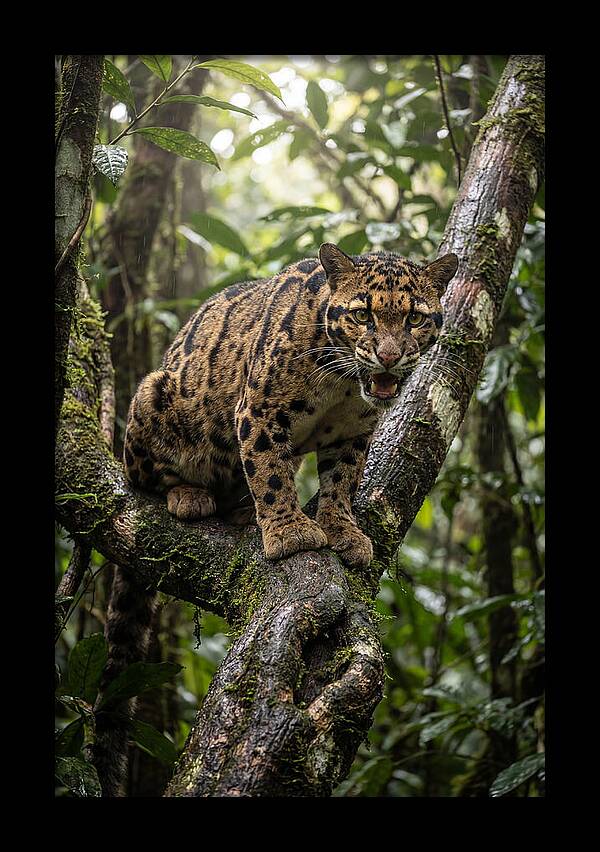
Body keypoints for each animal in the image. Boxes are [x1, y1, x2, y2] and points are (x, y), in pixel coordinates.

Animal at [123, 243, 458, 568]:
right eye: (362, 316)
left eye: (414, 318)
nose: (389, 357)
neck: (342, 383)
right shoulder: (260, 411)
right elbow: (270, 472)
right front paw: (290, 531)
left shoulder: (353, 432)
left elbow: (342, 480)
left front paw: (342, 529)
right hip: (153, 392)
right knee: (146, 479)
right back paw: (190, 495)